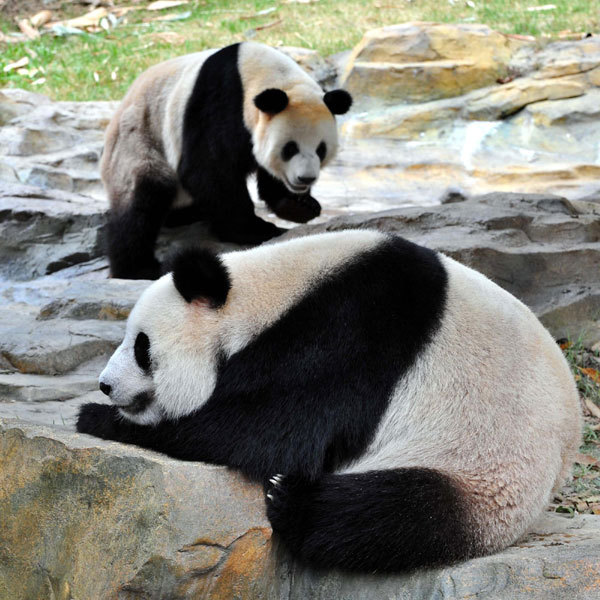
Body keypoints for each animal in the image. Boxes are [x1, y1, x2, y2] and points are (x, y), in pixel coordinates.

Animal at [77, 230, 584, 572]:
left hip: (484, 470)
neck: (267, 296)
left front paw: (98, 418)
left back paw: (292, 500)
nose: (105, 385)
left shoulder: (347, 335)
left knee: (394, 514)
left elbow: (266, 432)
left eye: (141, 346)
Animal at [100, 42, 350, 282]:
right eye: (290, 148)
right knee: (143, 199)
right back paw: (138, 268)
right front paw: (255, 229)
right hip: (140, 138)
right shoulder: (219, 104)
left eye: (321, 149)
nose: (305, 179)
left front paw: (299, 206)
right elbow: (209, 170)